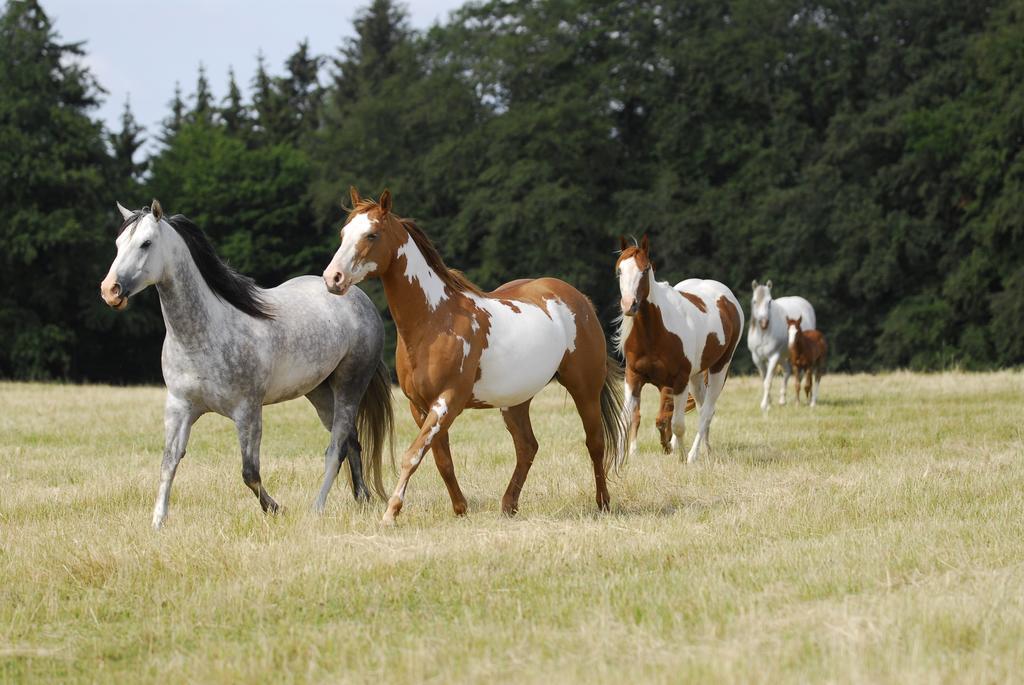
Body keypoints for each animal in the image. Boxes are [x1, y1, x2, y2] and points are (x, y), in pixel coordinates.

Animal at [99, 200, 393, 528]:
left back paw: (317, 509)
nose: (110, 290)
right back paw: (362, 499)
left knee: (337, 446)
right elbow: (168, 462)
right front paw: (157, 523)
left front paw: (276, 509)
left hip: (349, 386)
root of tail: (357, 297)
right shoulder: (179, 407)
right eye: (118, 244)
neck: (205, 333)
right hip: (319, 392)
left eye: (146, 243)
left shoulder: (248, 412)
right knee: (352, 442)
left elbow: (249, 473)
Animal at [321, 188, 622, 524]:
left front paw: (391, 512)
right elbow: (442, 461)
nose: (332, 278)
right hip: (515, 401)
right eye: (344, 233)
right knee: (527, 447)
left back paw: (603, 503)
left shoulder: (448, 401)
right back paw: (508, 505)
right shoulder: (420, 407)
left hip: (585, 389)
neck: (435, 320)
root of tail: (578, 299)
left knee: (595, 443)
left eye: (371, 234)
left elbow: (413, 455)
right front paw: (460, 509)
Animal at [610, 236, 741, 464]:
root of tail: (727, 298)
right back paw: (706, 449)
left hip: (719, 368)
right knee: (701, 407)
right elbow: (628, 418)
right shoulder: (633, 377)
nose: (629, 305)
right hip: (696, 377)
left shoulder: (678, 381)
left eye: (645, 269)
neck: (654, 333)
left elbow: (677, 424)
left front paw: (680, 456)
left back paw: (693, 455)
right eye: (619, 270)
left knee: (707, 411)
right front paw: (620, 458)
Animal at [745, 278, 815, 409]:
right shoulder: (757, 358)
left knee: (799, 375)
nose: (764, 323)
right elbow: (764, 379)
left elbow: (768, 381)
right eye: (754, 301)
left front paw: (764, 404)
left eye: (769, 301)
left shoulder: (773, 357)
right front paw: (769, 402)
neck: (763, 333)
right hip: (783, 356)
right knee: (787, 371)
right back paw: (782, 400)